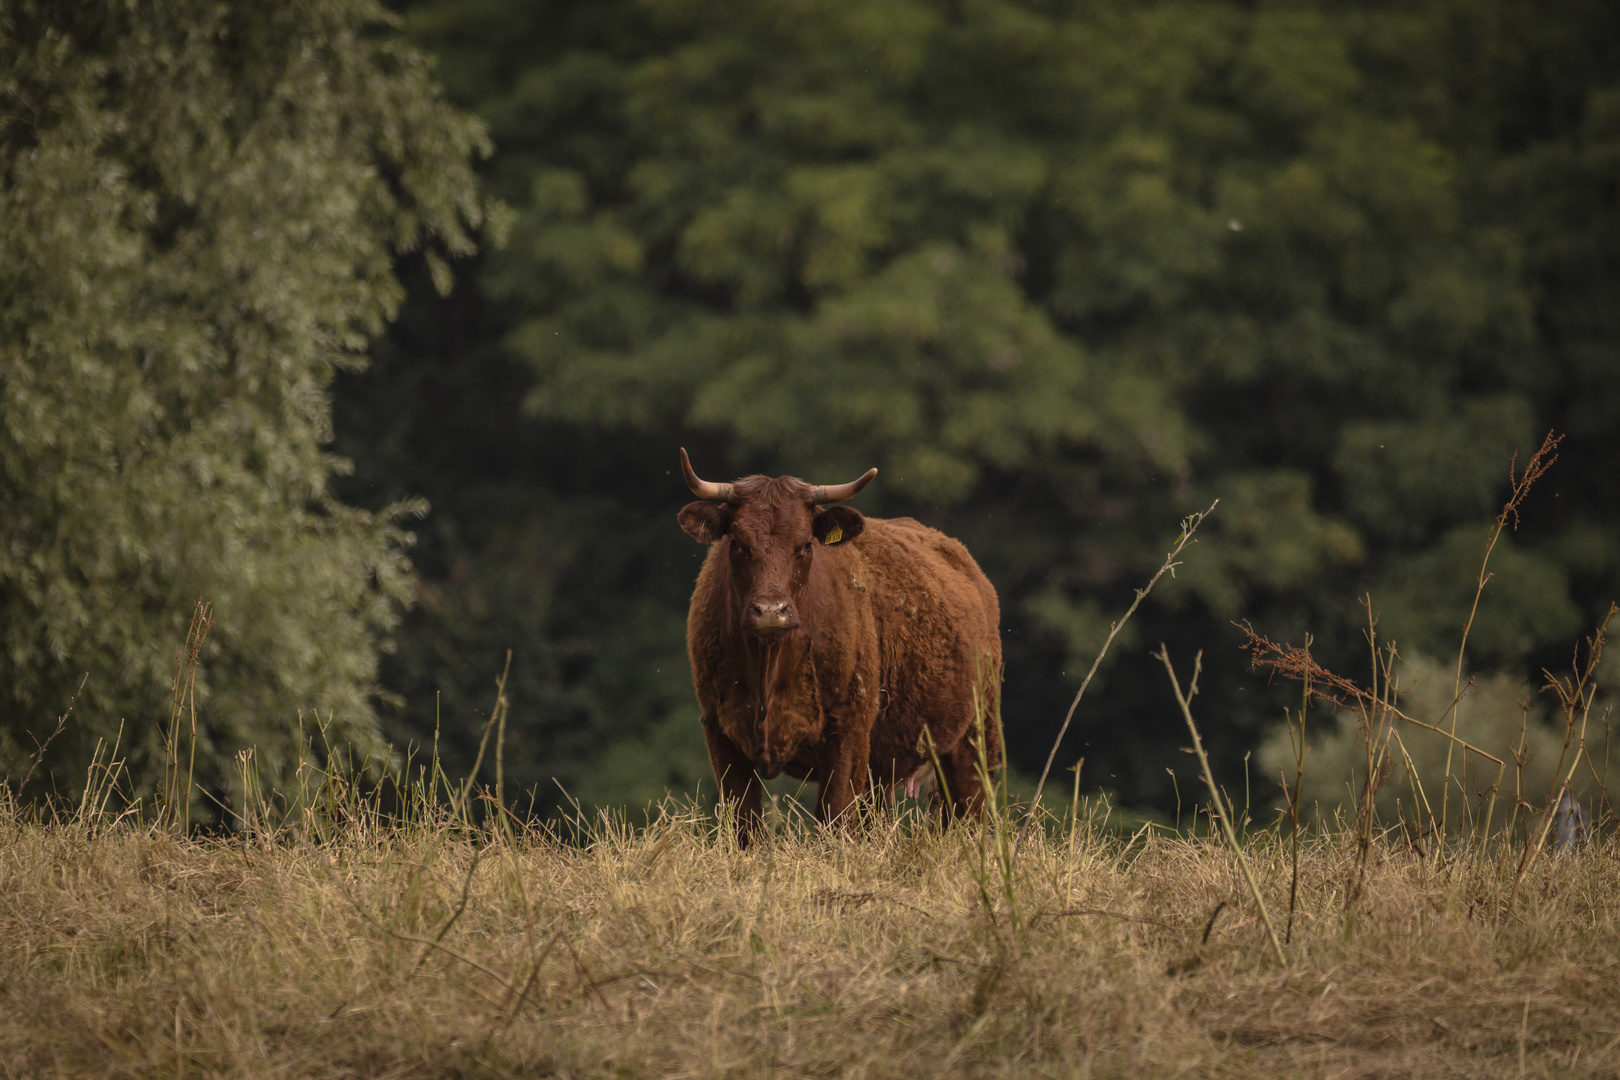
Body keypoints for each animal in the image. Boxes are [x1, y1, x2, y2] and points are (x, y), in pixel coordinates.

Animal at [670, 446, 997, 835]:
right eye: (737, 543)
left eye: (805, 545)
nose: (771, 611)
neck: (771, 668)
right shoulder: (721, 732)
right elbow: (745, 824)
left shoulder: (848, 732)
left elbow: (836, 815)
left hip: (975, 736)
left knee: (969, 813)